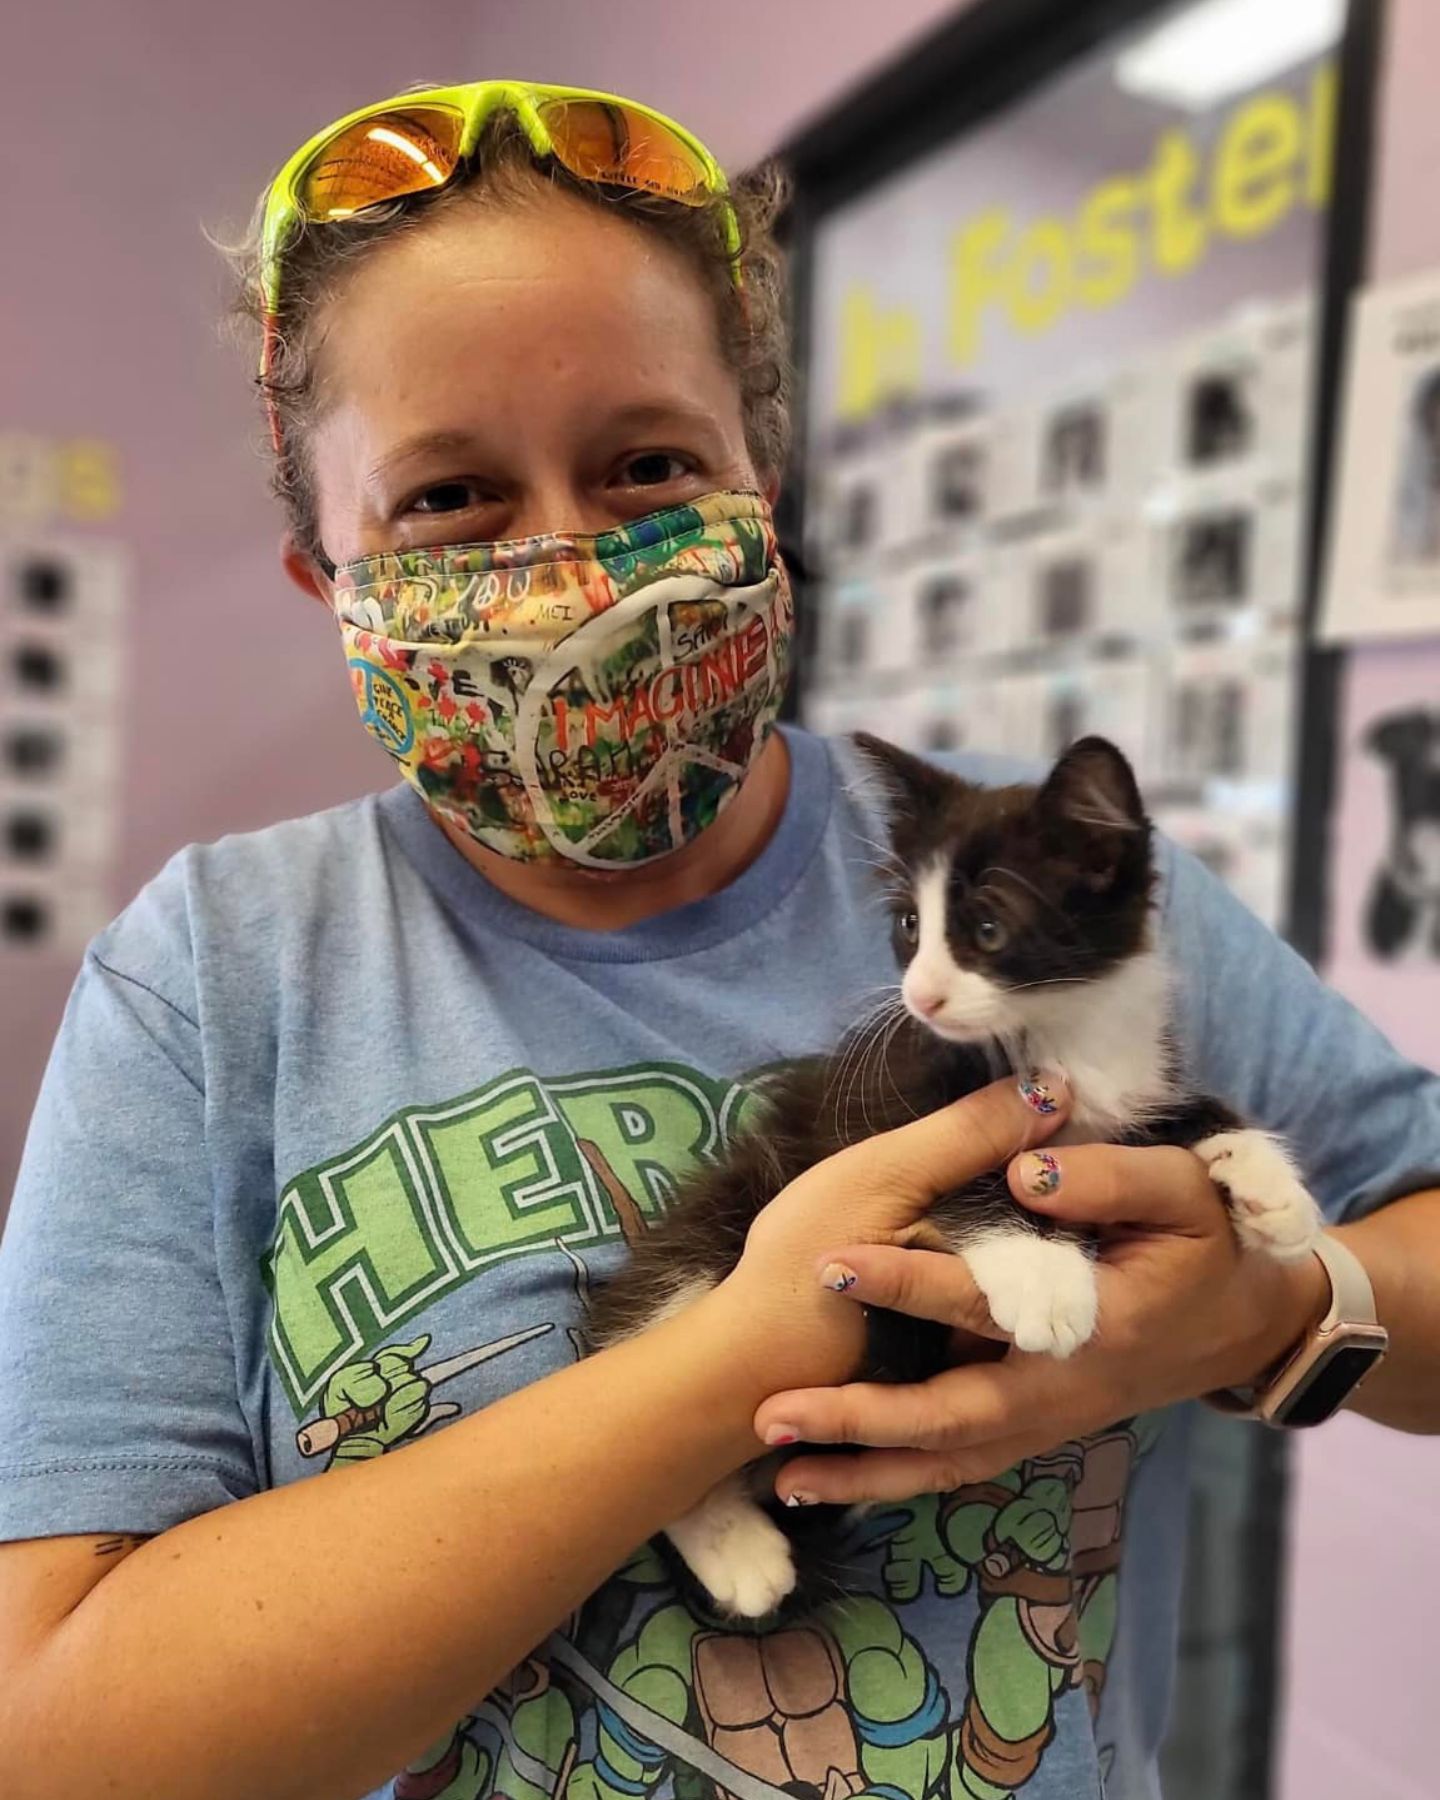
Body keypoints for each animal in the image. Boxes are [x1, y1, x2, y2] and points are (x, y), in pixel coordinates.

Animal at [583, 730, 1317, 1620]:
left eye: (990, 928)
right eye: (909, 925)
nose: (922, 994)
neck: (1057, 1031)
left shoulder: (1130, 1092)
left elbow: (1190, 1113)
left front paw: (1272, 1188)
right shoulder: (871, 1113)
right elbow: (965, 1171)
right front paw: (1042, 1274)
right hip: (716, 1226)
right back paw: (739, 1552)